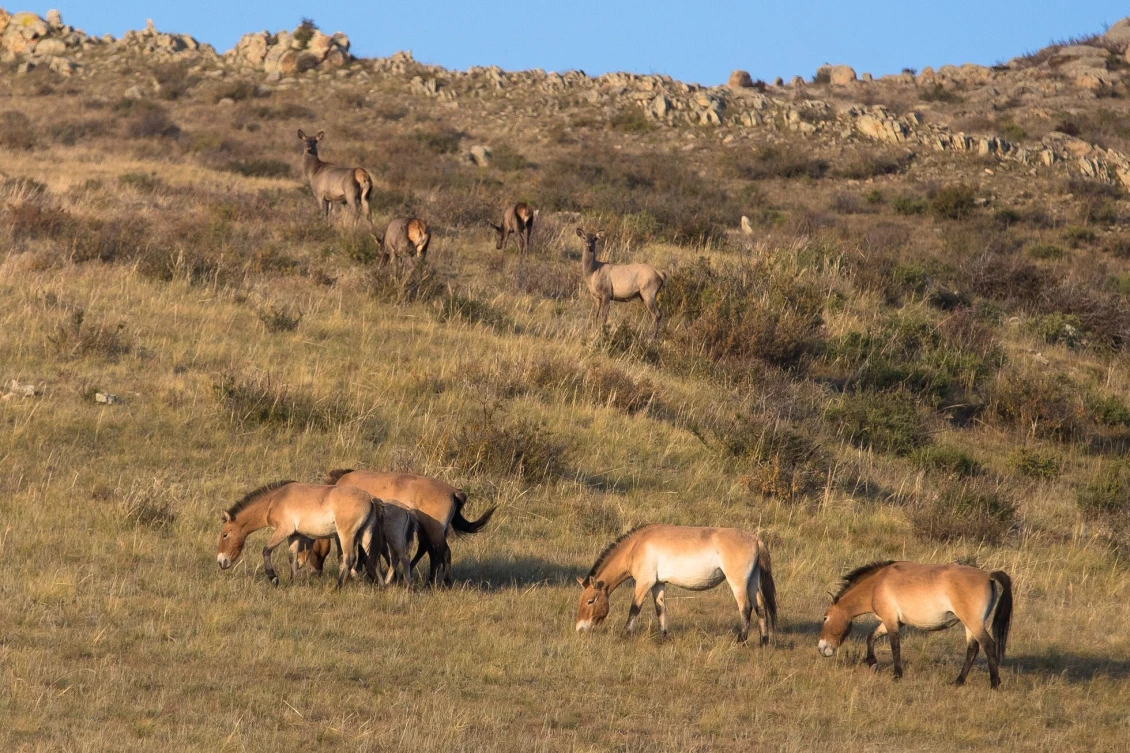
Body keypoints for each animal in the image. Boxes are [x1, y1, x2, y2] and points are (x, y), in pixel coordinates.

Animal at [216, 480, 379, 588]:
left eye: (225, 535)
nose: (221, 562)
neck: (274, 500)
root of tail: (369, 498)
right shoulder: (294, 535)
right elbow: (292, 557)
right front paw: (292, 582)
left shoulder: (283, 530)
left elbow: (266, 550)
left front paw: (274, 578)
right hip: (364, 535)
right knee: (370, 558)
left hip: (346, 535)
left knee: (349, 558)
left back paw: (338, 587)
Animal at [326, 469, 495, 586]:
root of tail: (453, 492)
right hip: (431, 531)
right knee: (432, 553)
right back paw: (428, 582)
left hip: (434, 531)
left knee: (443, 553)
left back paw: (445, 582)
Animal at [575, 524, 777, 644]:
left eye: (590, 601)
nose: (580, 629)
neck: (637, 545)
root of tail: (755, 539)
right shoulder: (658, 584)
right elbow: (660, 609)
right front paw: (664, 636)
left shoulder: (644, 582)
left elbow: (635, 608)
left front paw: (625, 634)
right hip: (752, 582)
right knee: (760, 607)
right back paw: (764, 640)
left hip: (738, 583)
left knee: (746, 608)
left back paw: (741, 640)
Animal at [817, 560, 1014, 688]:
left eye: (825, 618)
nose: (821, 648)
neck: (876, 584)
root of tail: (988, 576)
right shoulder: (895, 621)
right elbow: (871, 637)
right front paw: (873, 663)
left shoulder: (890, 620)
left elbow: (895, 646)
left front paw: (897, 674)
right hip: (969, 625)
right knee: (972, 649)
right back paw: (958, 681)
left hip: (973, 623)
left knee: (988, 646)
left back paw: (994, 683)